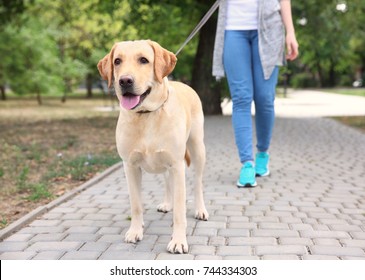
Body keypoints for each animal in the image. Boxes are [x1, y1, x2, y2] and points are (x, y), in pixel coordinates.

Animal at [96, 40, 208, 254]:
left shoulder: (177, 165)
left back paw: (200, 209)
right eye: (117, 61)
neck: (146, 114)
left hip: (197, 149)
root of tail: (183, 83)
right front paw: (135, 231)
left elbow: (180, 211)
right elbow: (136, 205)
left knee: (198, 183)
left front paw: (178, 240)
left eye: (143, 60)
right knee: (166, 180)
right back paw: (166, 203)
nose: (125, 81)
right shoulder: (130, 166)